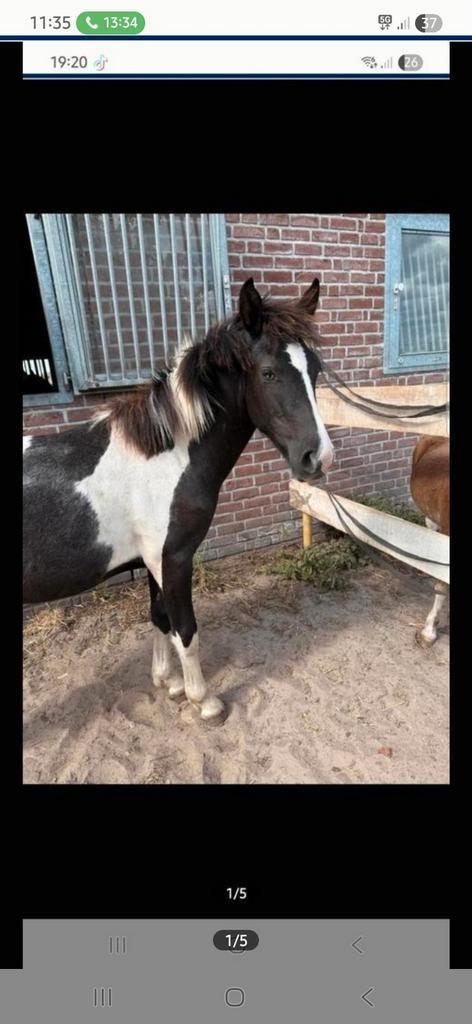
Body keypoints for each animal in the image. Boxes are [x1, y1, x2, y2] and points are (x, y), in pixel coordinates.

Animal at [23, 276, 334, 721]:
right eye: (269, 372)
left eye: (316, 369)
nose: (318, 457)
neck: (163, 457)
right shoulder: (173, 559)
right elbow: (185, 629)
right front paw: (203, 701)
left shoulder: (153, 562)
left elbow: (159, 618)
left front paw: (167, 683)